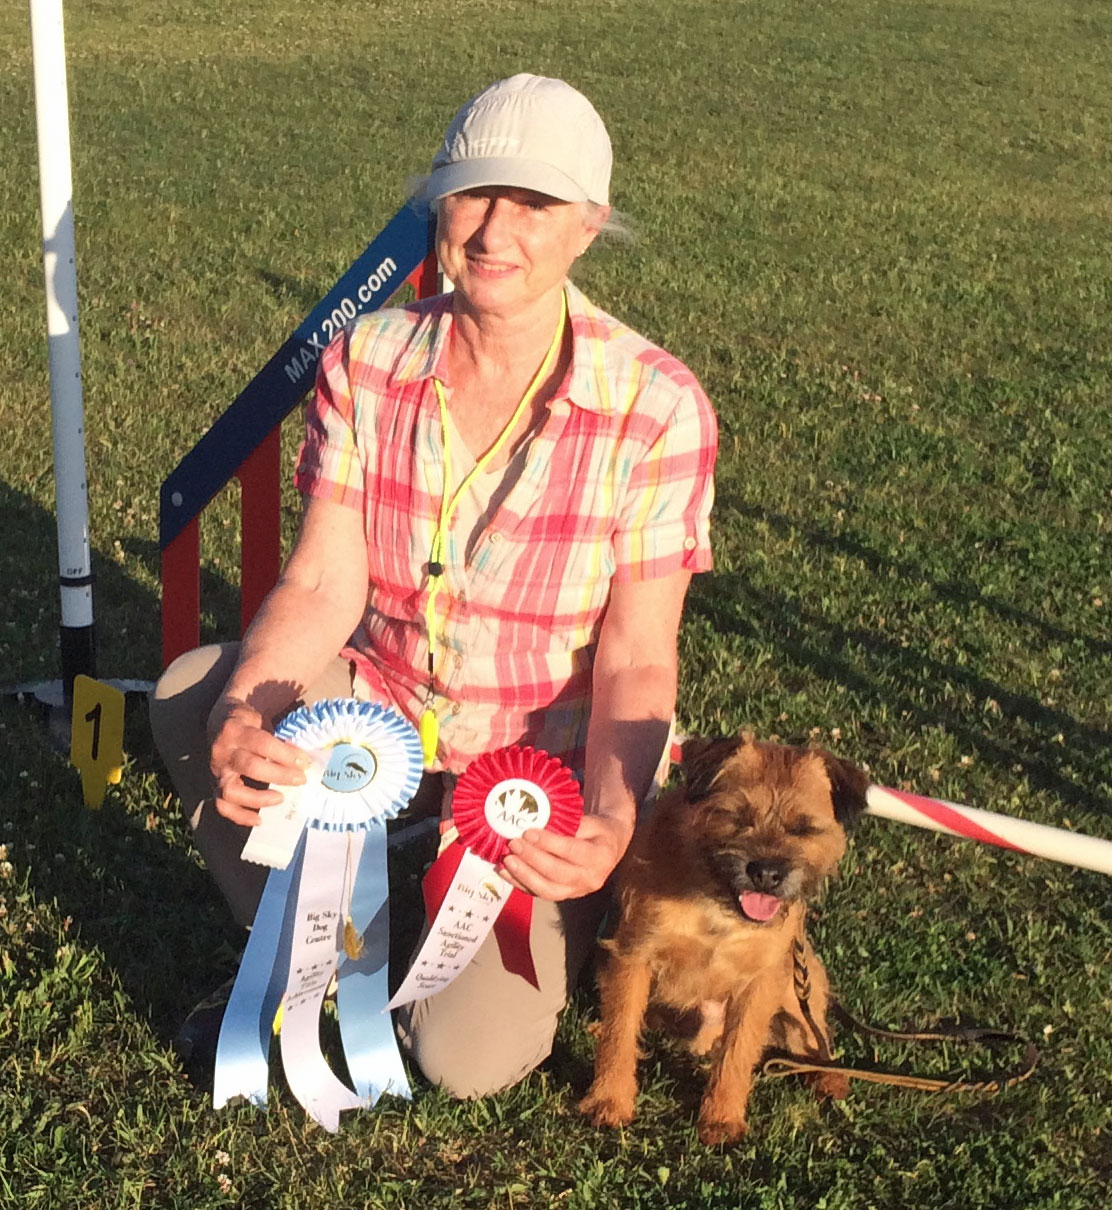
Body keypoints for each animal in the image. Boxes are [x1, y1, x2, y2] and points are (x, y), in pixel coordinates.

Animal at [579, 733, 869, 1144]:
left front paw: (721, 1118)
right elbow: (620, 1033)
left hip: (799, 988)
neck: (717, 904)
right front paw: (609, 1099)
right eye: (738, 817)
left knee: (818, 1035)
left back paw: (830, 1076)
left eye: (803, 828)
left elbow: (738, 1051)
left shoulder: (760, 982)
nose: (767, 873)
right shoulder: (632, 956)